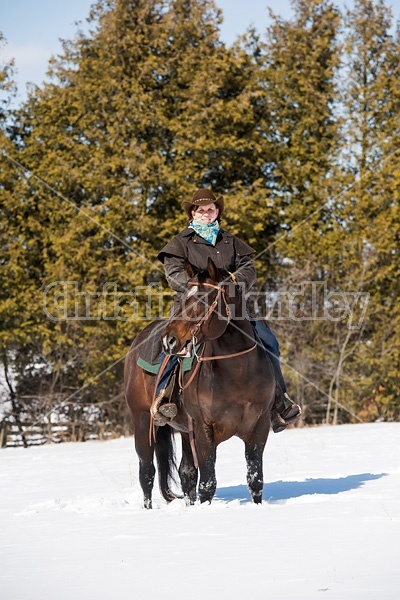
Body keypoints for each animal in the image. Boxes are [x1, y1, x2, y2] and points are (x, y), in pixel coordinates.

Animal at [124, 256, 276, 506]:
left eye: (204, 299)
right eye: (184, 296)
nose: (169, 340)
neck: (237, 373)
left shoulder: (259, 426)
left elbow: (255, 480)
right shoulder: (204, 429)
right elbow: (207, 483)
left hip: (186, 432)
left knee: (185, 473)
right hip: (143, 421)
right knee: (146, 473)